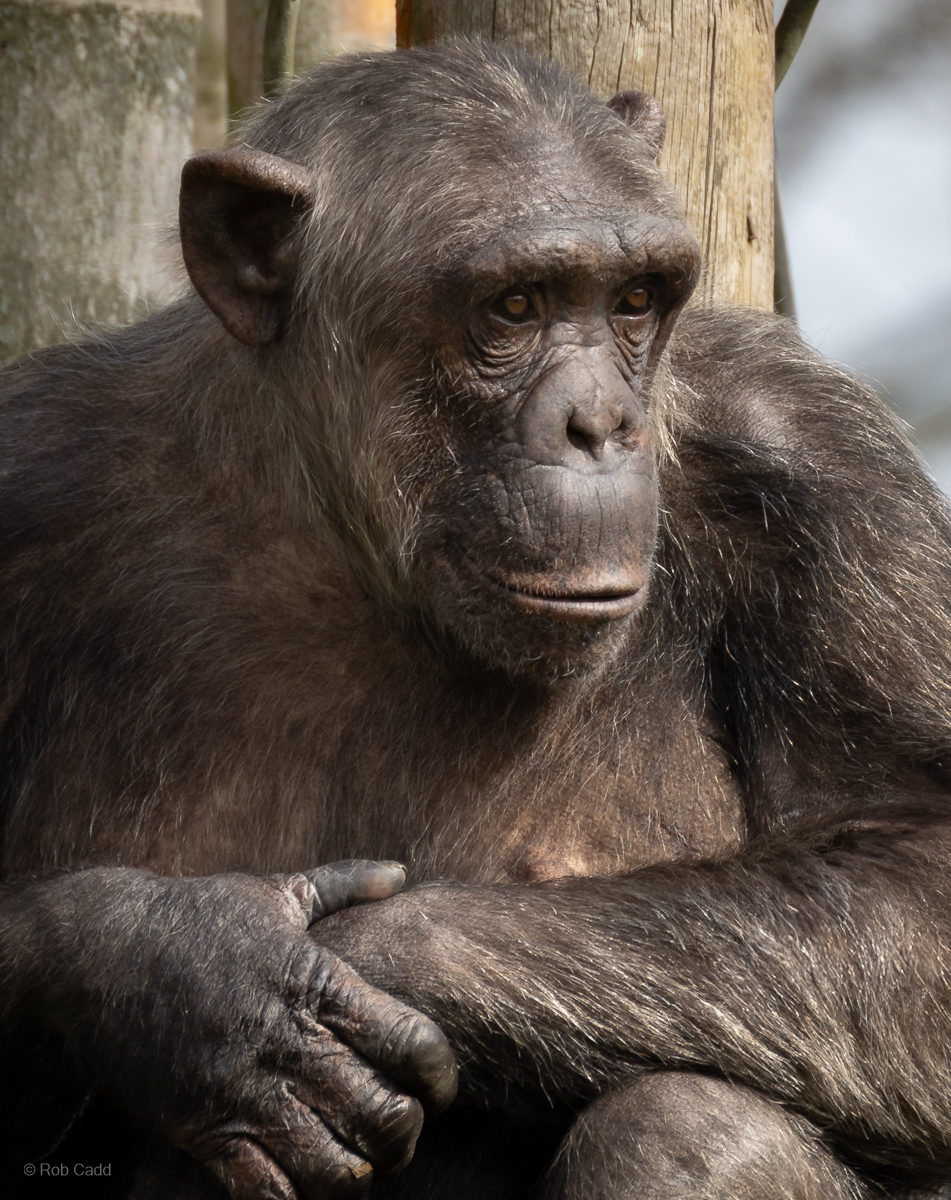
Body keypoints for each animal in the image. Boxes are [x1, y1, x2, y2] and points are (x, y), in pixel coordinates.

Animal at [3, 36, 951, 1200]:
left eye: (634, 299)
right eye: (514, 308)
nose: (601, 423)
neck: (357, 543)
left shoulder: (826, 468)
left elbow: (919, 877)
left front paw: (331, 966)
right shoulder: (26, 468)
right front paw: (180, 974)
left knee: (685, 1129)